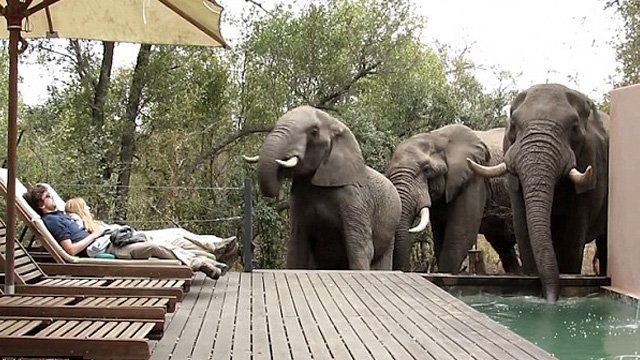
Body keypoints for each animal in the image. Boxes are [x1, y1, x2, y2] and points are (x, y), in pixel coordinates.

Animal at [384, 124, 520, 272]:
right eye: (388, 174)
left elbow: (458, 237)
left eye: (427, 169)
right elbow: (440, 240)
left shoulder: (473, 179)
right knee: (504, 247)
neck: (436, 137)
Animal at [468, 83, 608, 304]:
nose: (551, 300)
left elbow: (573, 236)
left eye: (574, 129)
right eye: (514, 126)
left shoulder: (593, 159)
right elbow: (523, 230)